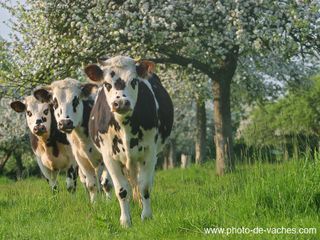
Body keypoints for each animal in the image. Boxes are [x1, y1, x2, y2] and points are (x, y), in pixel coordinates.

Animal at [82, 56, 172, 227]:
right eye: (107, 84)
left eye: (134, 81)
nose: (121, 103)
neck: (124, 126)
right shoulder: (109, 157)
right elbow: (122, 190)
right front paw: (125, 221)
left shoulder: (149, 153)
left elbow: (145, 186)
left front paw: (146, 216)